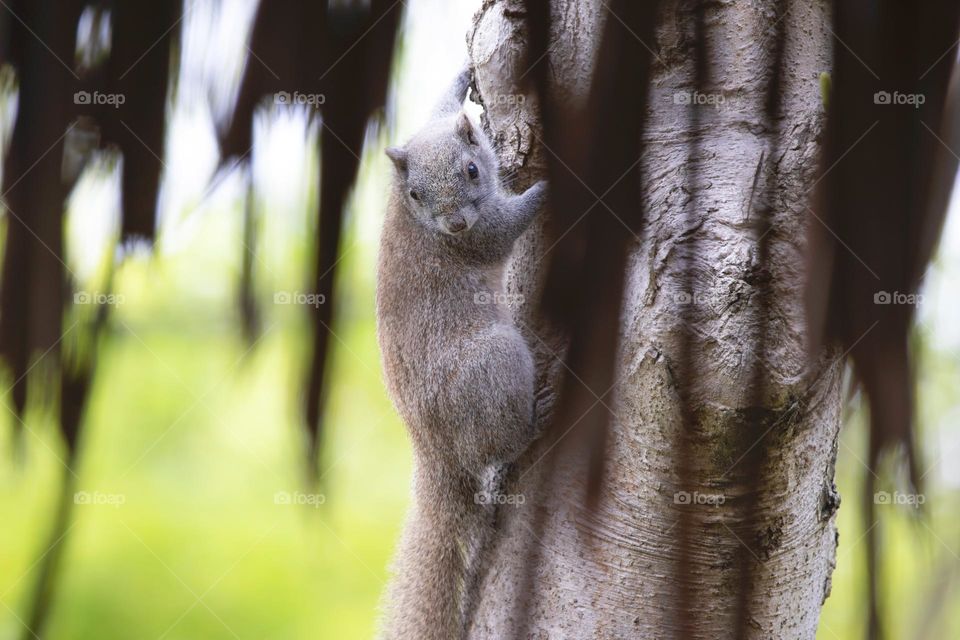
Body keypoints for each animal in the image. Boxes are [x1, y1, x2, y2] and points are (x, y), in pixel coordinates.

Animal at [376, 67, 548, 636]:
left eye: (471, 170)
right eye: (416, 192)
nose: (453, 224)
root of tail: (433, 450)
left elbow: (438, 106)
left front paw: (461, 80)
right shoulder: (481, 238)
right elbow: (505, 228)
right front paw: (548, 187)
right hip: (494, 362)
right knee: (501, 444)